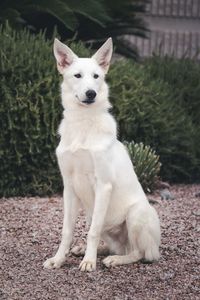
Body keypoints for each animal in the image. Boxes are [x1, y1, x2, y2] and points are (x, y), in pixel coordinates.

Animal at [43, 37, 160, 272]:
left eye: (96, 76)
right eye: (77, 75)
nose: (91, 93)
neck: (83, 123)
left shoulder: (103, 185)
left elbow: (93, 234)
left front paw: (89, 261)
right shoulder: (69, 187)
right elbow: (67, 231)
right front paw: (59, 259)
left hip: (136, 214)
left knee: (138, 252)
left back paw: (114, 259)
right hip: (92, 214)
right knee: (116, 246)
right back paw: (89, 251)